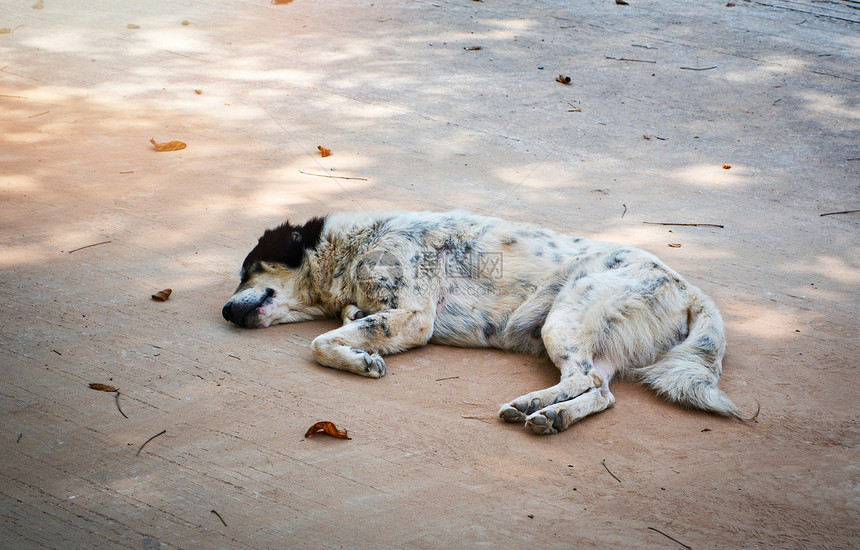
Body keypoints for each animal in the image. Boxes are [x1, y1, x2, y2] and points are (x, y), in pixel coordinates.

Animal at [223, 211, 752, 436]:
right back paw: (551, 415)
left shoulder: (413, 317)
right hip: (587, 336)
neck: (355, 245)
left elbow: (318, 342)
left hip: (565, 316)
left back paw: (535, 405)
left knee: (584, 379)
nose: (226, 312)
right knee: (601, 390)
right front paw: (357, 338)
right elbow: (346, 322)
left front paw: (359, 358)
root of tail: (686, 287)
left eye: (248, 270)